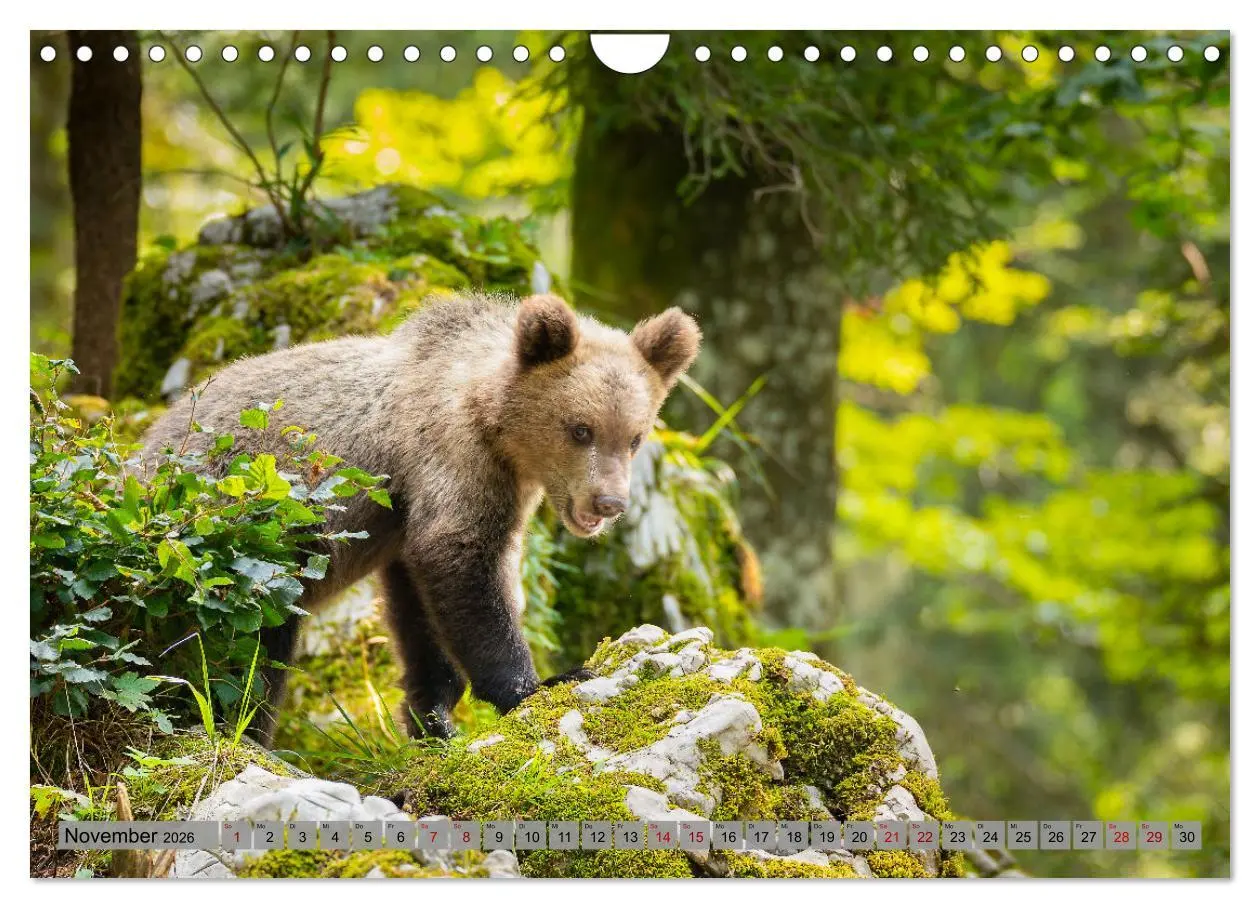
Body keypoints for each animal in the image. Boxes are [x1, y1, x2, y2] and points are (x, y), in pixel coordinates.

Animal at [140, 292, 702, 743]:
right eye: (580, 429)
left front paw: (433, 717)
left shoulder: (411, 514)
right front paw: (539, 683)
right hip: (234, 538)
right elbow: (462, 563)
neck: (493, 422)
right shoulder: (451, 459)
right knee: (248, 649)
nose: (610, 503)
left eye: (635, 437)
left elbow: (419, 610)